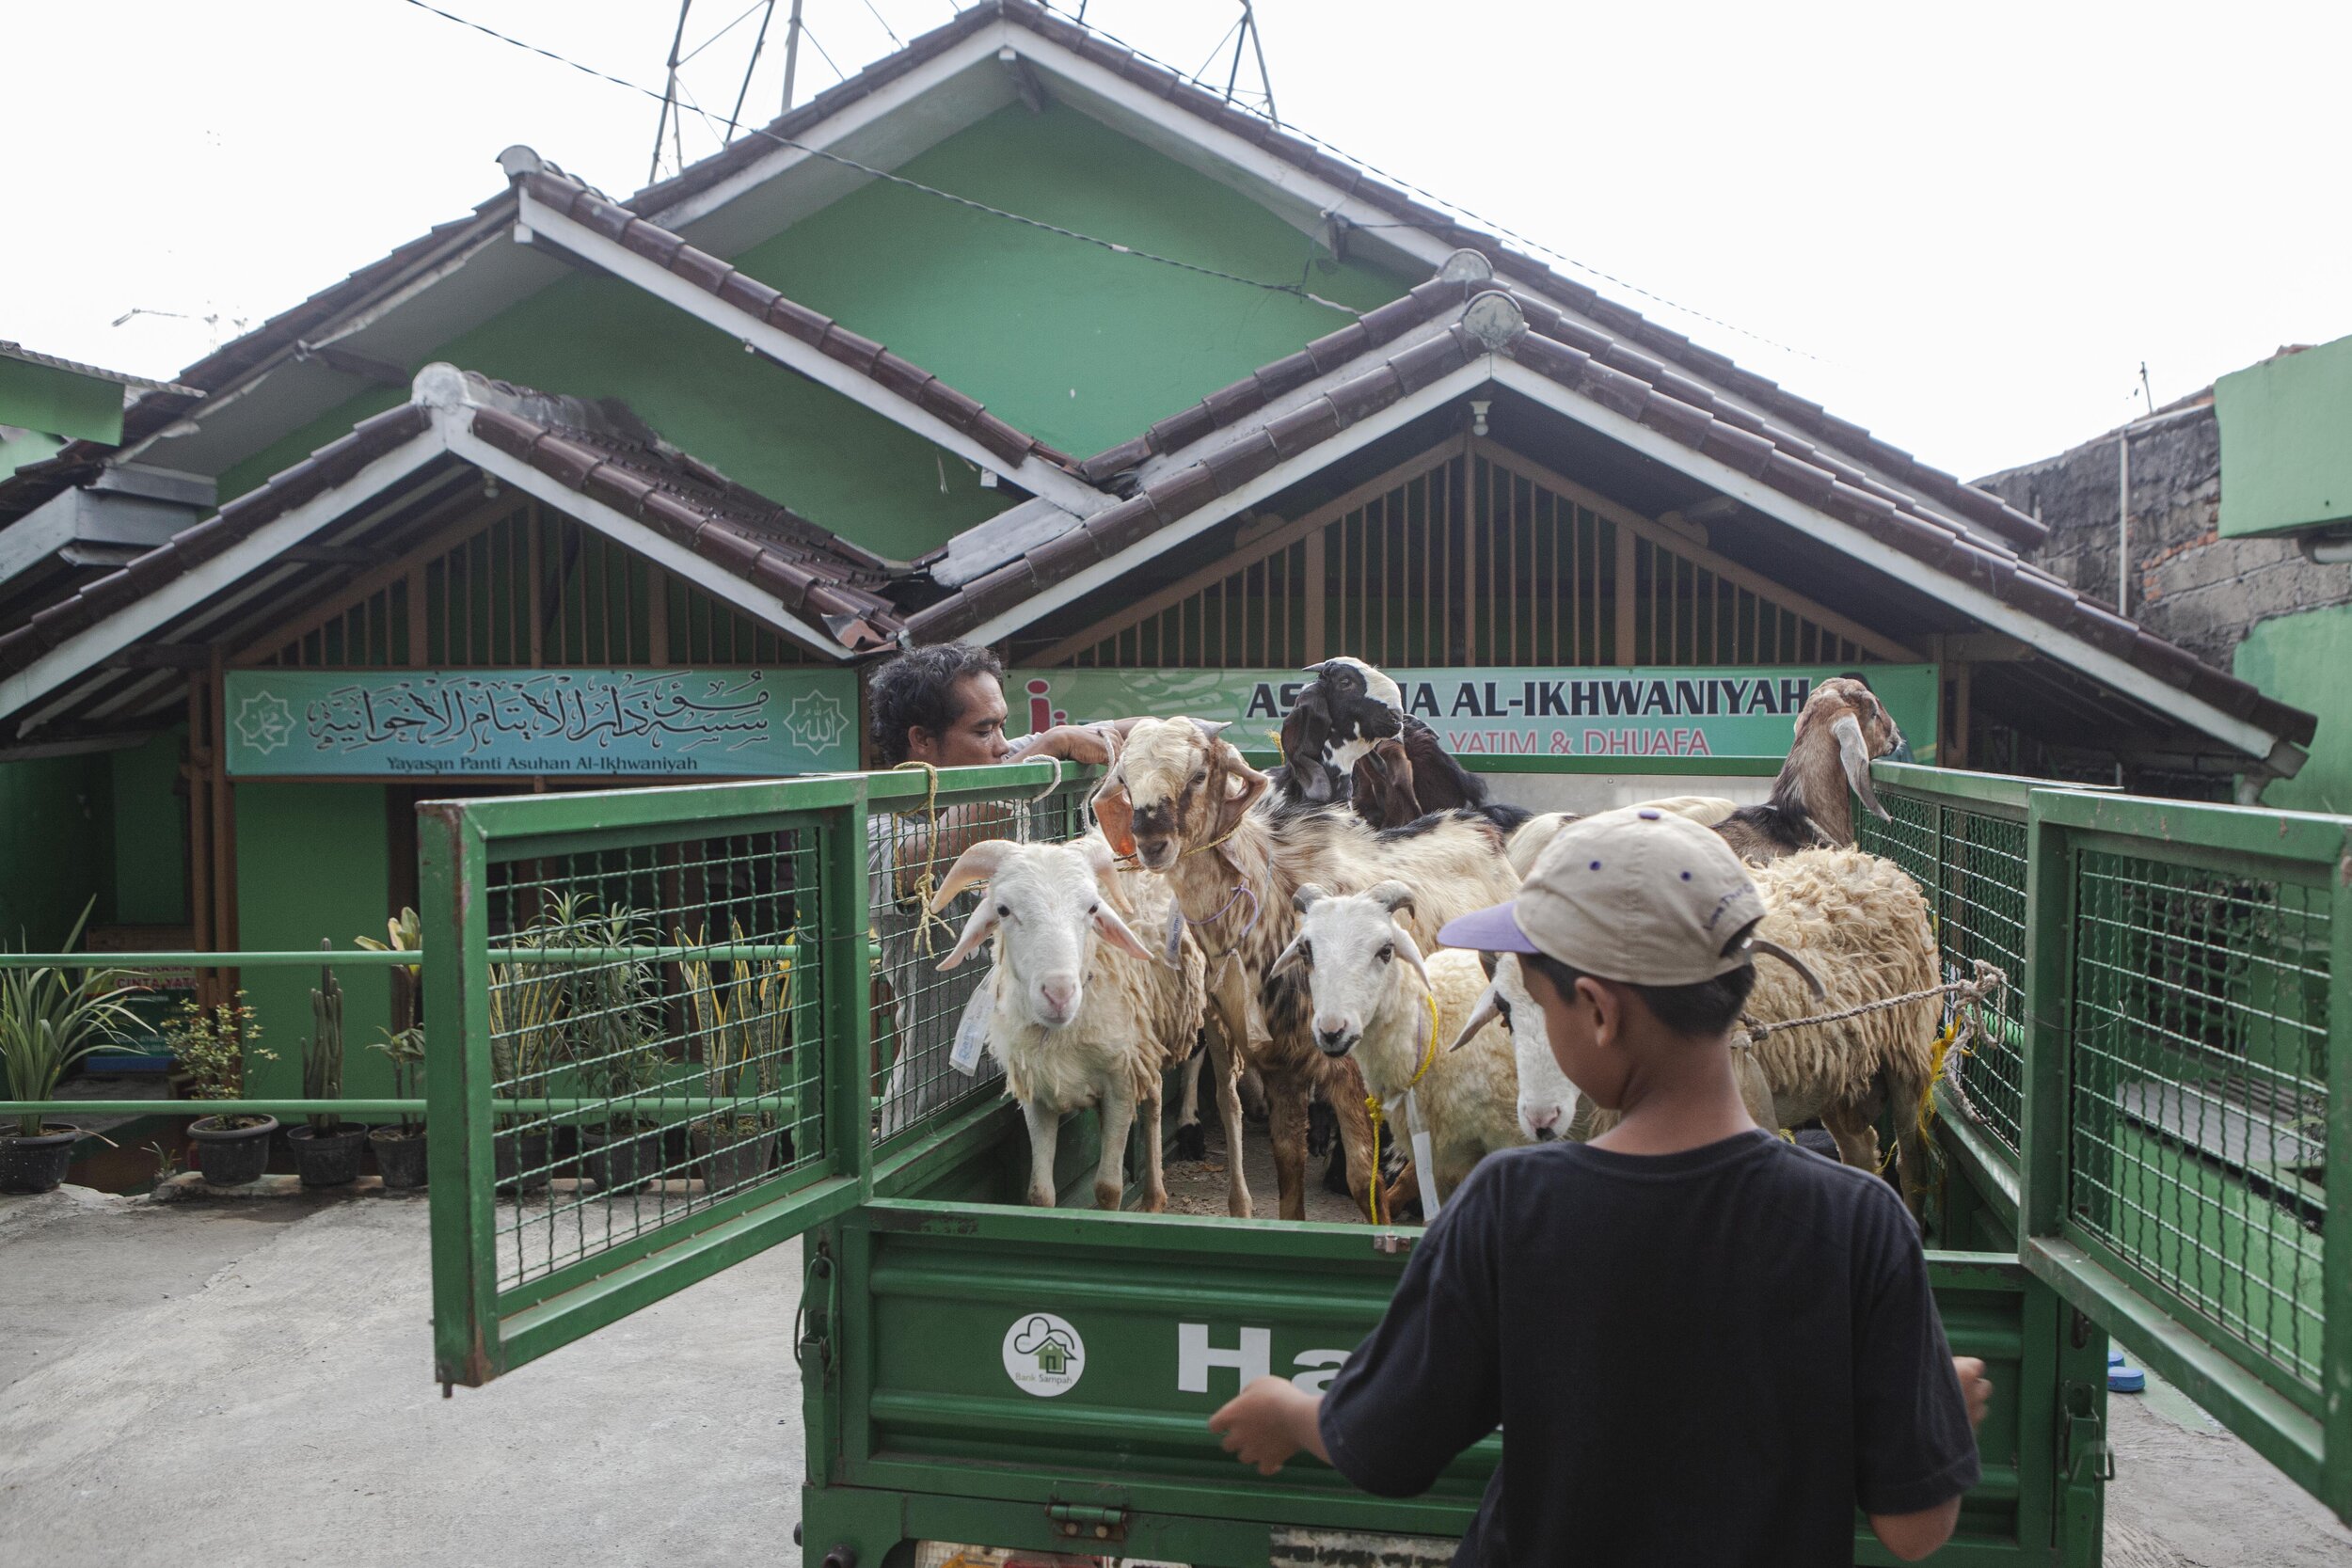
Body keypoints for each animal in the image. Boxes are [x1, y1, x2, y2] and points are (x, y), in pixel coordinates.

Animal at [1091, 719, 1515, 1222]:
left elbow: (1362, 1180)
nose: (1152, 845)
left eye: (1198, 775)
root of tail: (1482, 828)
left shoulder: (1351, 1072)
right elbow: (1288, 1171)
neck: (1268, 898)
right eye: (1125, 781)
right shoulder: (1283, 1066)